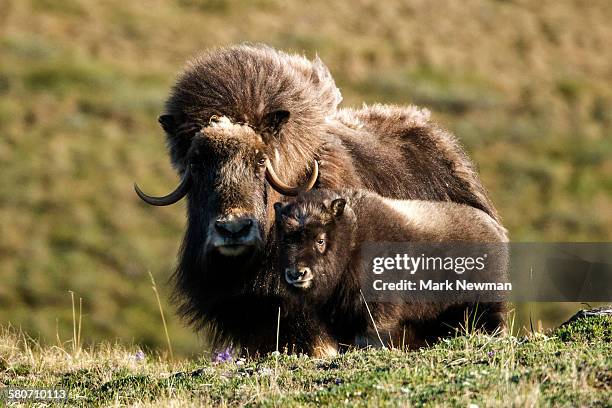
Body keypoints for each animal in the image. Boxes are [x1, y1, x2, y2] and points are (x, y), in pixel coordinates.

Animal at [274, 190, 510, 356]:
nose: (296, 274)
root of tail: (497, 229)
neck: (351, 240)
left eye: (320, 239)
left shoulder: (377, 309)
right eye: (286, 239)